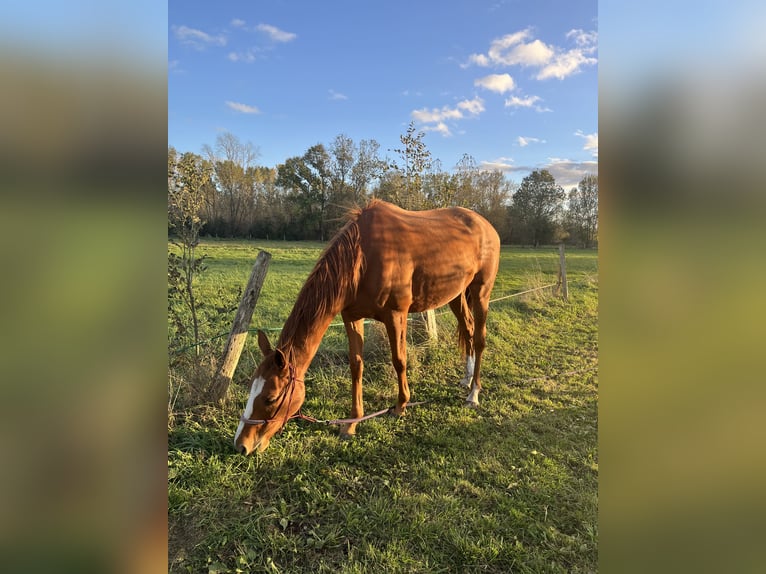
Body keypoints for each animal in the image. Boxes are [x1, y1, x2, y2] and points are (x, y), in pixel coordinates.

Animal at [234, 199, 500, 454]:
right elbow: (356, 366)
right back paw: (466, 379)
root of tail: (486, 226)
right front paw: (352, 423)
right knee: (468, 330)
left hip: (481, 293)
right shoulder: (352, 317)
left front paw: (401, 405)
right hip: (456, 295)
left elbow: (399, 360)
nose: (241, 445)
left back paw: (473, 393)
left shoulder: (396, 315)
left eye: (270, 398)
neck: (364, 256)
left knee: (479, 339)